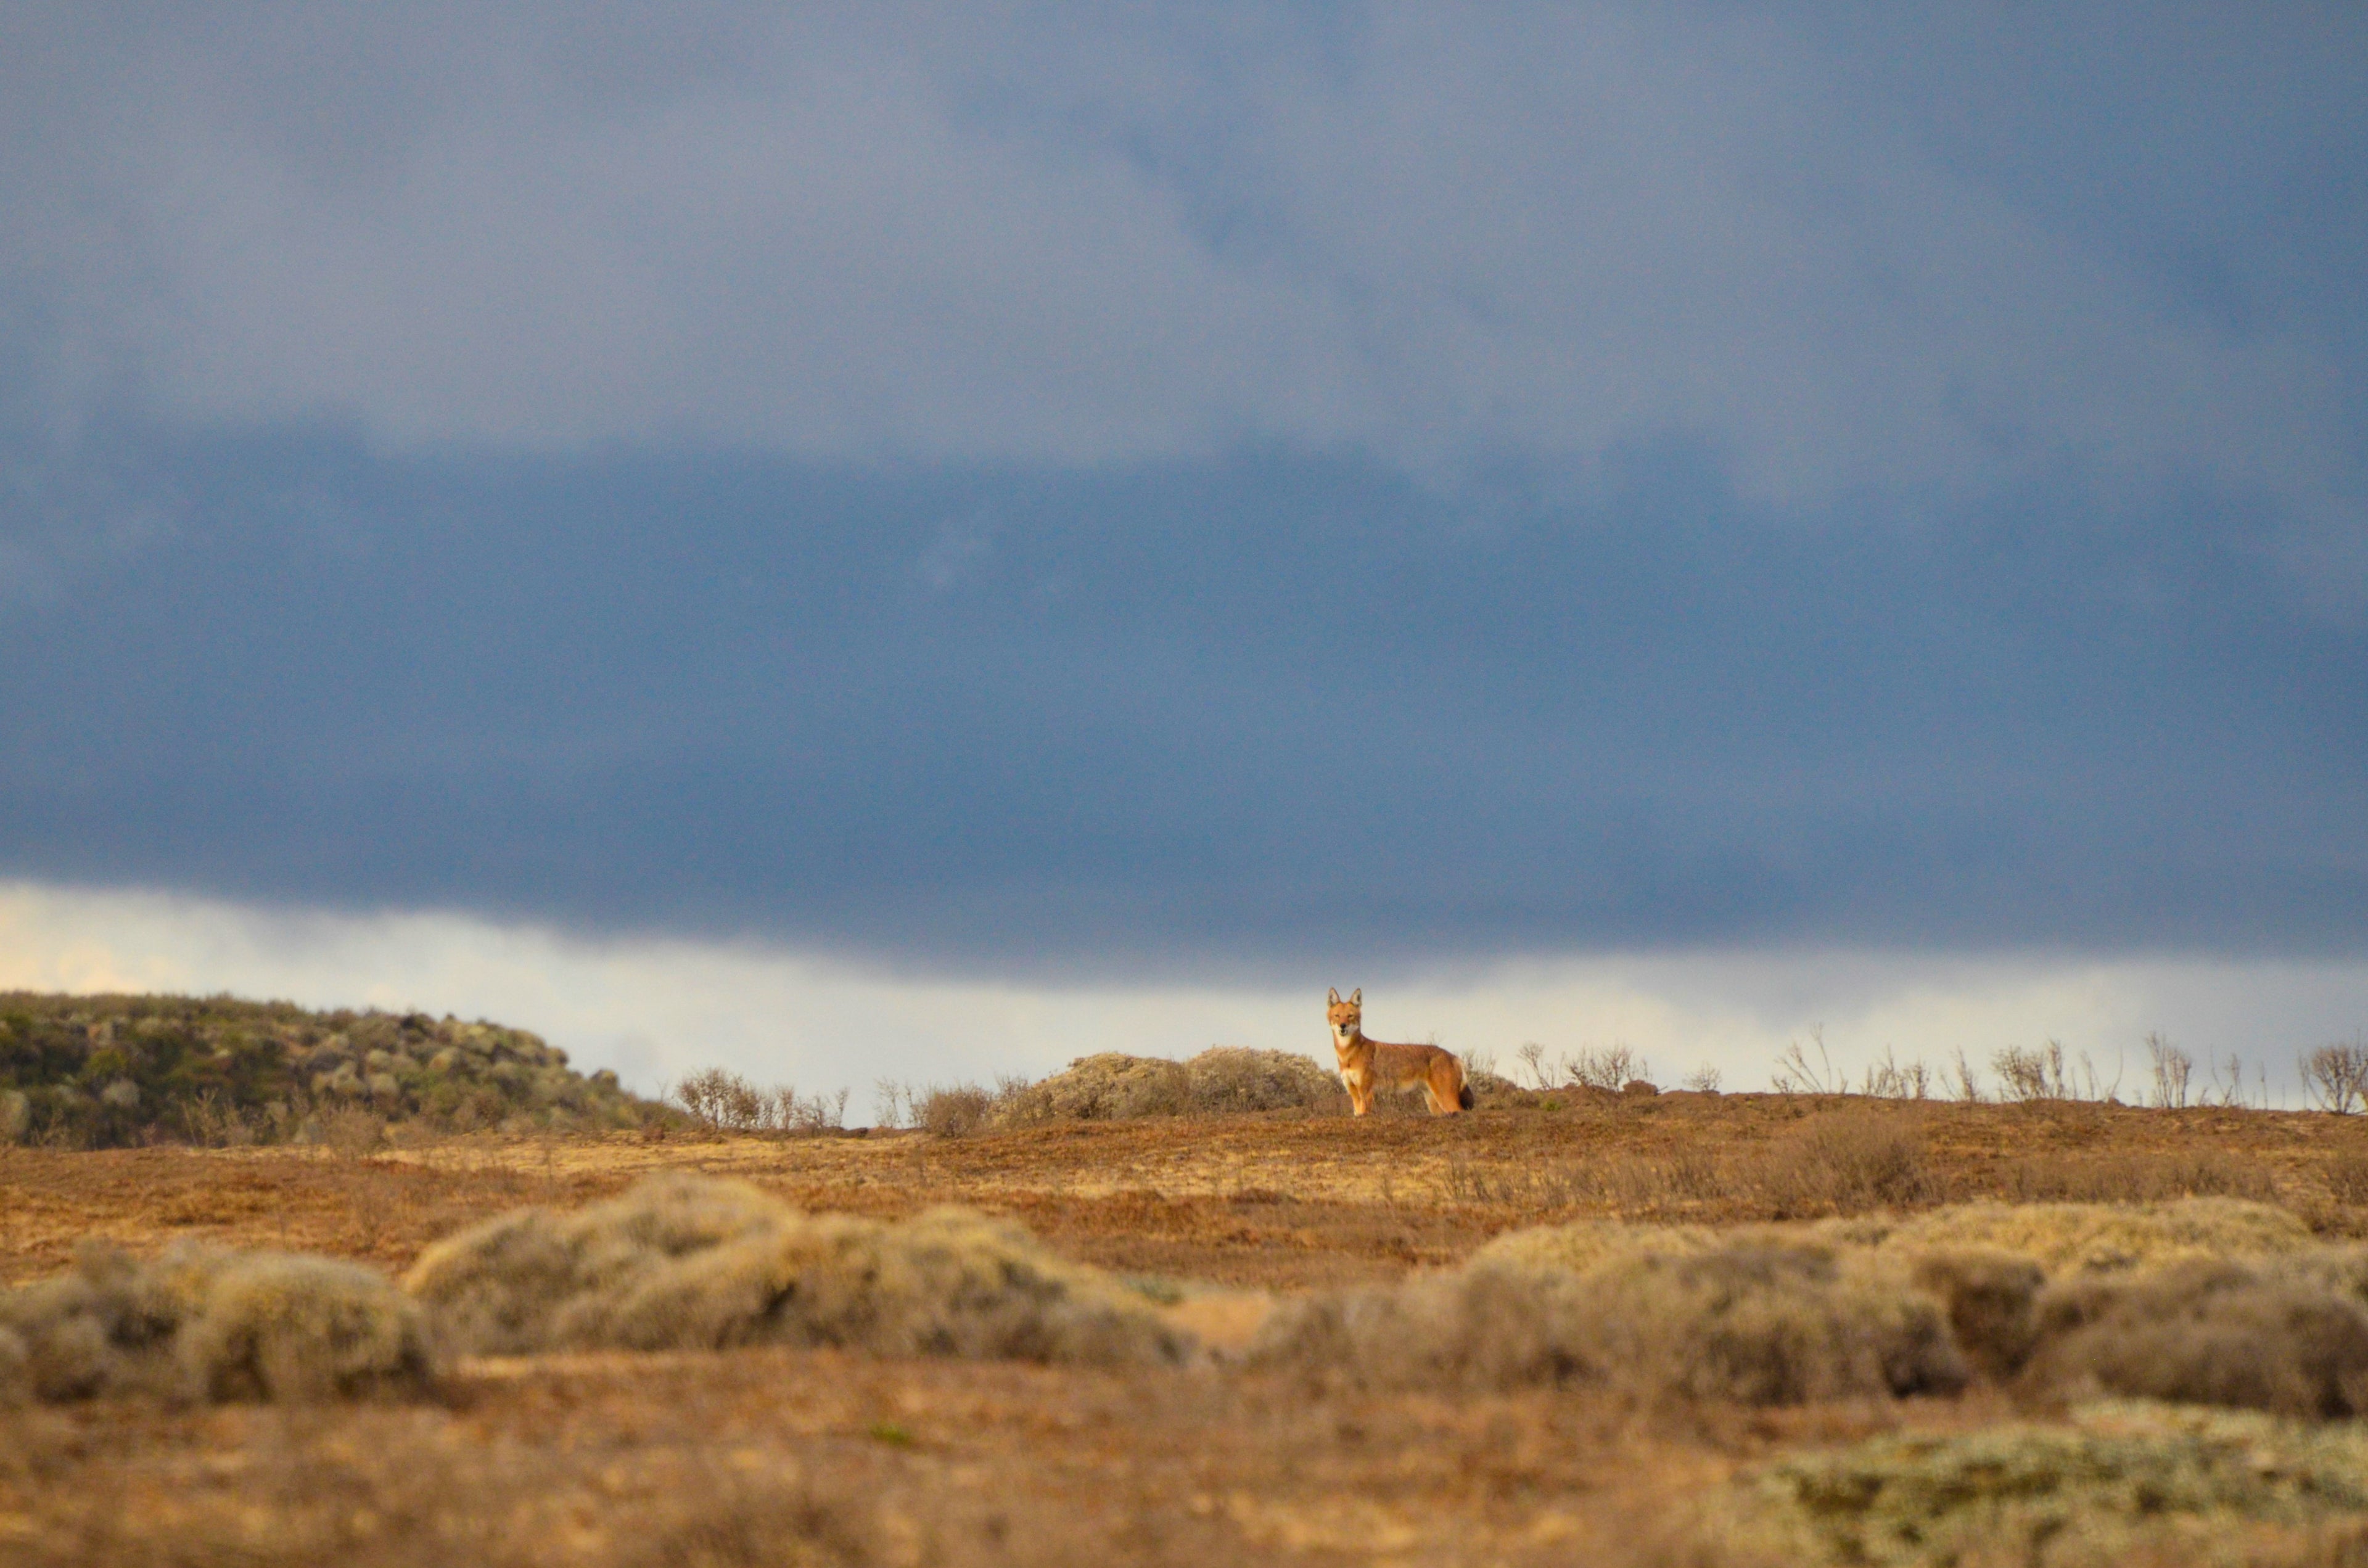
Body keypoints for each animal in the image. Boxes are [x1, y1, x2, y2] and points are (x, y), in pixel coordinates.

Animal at [1326, 988, 1473, 1116]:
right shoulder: (1355, 1095)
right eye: (1337, 1016)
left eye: (1350, 1016)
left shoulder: (1367, 1093)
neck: (1348, 1055)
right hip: (1434, 1105)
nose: (1343, 1026)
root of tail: (1455, 1058)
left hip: (1446, 1100)